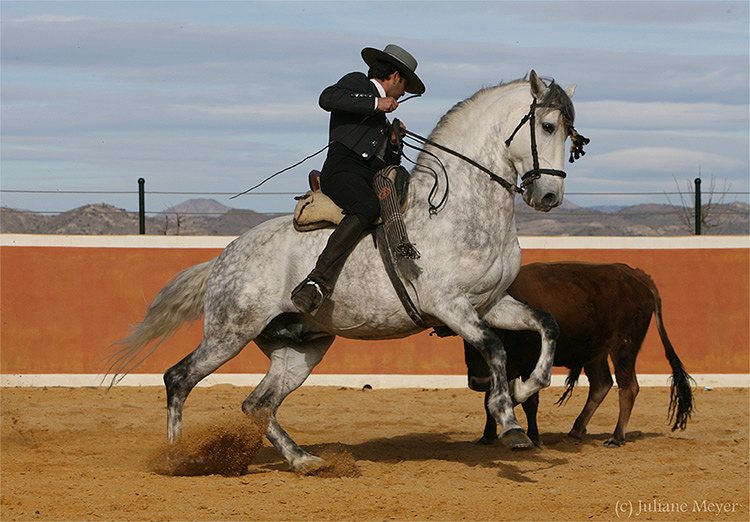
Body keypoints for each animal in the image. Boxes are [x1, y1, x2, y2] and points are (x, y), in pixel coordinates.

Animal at [107, 71, 580, 474]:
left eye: (571, 134)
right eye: (548, 127)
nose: (549, 196)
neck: (457, 208)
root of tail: (225, 256)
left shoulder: (492, 303)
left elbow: (548, 325)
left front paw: (523, 390)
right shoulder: (451, 306)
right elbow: (496, 349)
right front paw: (510, 422)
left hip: (299, 349)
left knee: (258, 404)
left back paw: (304, 460)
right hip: (229, 332)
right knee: (179, 379)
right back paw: (176, 458)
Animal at [462, 262, 696, 444]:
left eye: (501, 332)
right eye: (466, 340)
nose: (479, 382)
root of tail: (636, 275)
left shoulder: (530, 365)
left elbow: (530, 402)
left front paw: (534, 438)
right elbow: (490, 399)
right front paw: (487, 437)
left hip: (624, 347)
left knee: (628, 387)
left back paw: (616, 437)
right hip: (596, 352)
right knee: (602, 384)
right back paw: (576, 429)